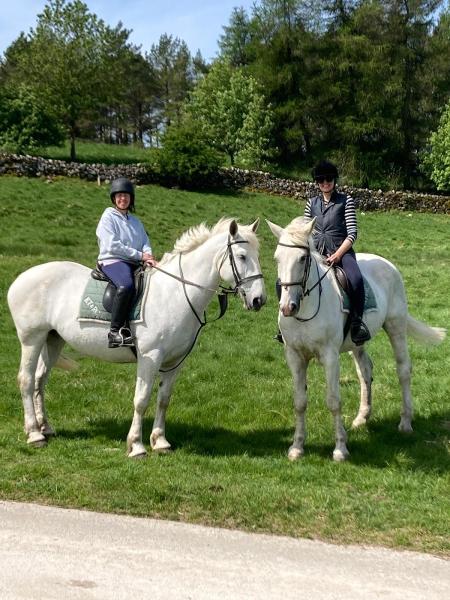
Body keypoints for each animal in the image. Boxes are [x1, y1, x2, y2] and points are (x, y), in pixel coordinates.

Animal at [7, 218, 268, 458]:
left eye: (257, 255)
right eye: (242, 256)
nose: (259, 300)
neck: (175, 294)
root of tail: (21, 278)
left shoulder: (176, 361)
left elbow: (164, 399)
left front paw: (160, 442)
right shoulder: (150, 357)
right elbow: (141, 400)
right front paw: (136, 446)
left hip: (53, 339)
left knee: (40, 380)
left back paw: (46, 428)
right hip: (31, 339)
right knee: (26, 380)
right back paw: (34, 434)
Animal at [268, 218, 446, 462]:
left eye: (303, 258)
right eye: (277, 258)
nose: (287, 308)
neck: (306, 308)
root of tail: (387, 264)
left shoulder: (330, 356)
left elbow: (333, 401)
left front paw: (340, 449)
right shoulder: (294, 356)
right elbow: (299, 402)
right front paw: (296, 447)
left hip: (396, 326)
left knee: (403, 370)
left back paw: (405, 423)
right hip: (358, 343)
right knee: (365, 371)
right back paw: (362, 418)